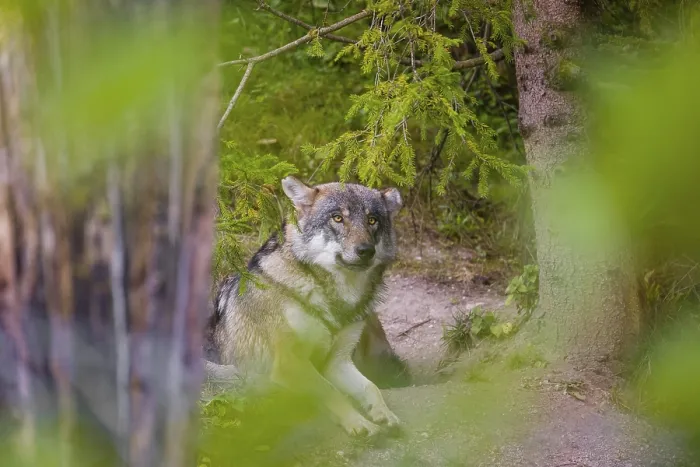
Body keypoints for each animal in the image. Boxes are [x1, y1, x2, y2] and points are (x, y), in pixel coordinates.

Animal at [204, 176, 409, 437]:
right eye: (337, 218)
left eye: (372, 220)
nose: (365, 250)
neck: (335, 302)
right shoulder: (289, 362)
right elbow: (331, 391)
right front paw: (359, 423)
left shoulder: (338, 362)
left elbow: (371, 387)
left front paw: (384, 414)